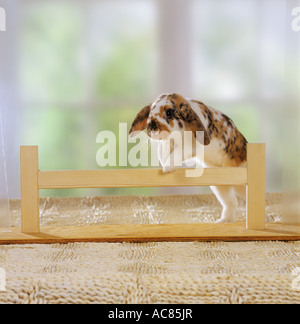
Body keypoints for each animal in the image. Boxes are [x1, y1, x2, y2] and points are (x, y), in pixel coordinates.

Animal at [127, 92, 247, 221]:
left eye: (169, 112)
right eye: (150, 112)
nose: (152, 128)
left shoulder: (190, 147)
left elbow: (177, 153)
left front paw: (167, 167)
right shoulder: (167, 143)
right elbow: (163, 151)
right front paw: (164, 163)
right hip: (220, 186)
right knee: (232, 202)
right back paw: (224, 221)